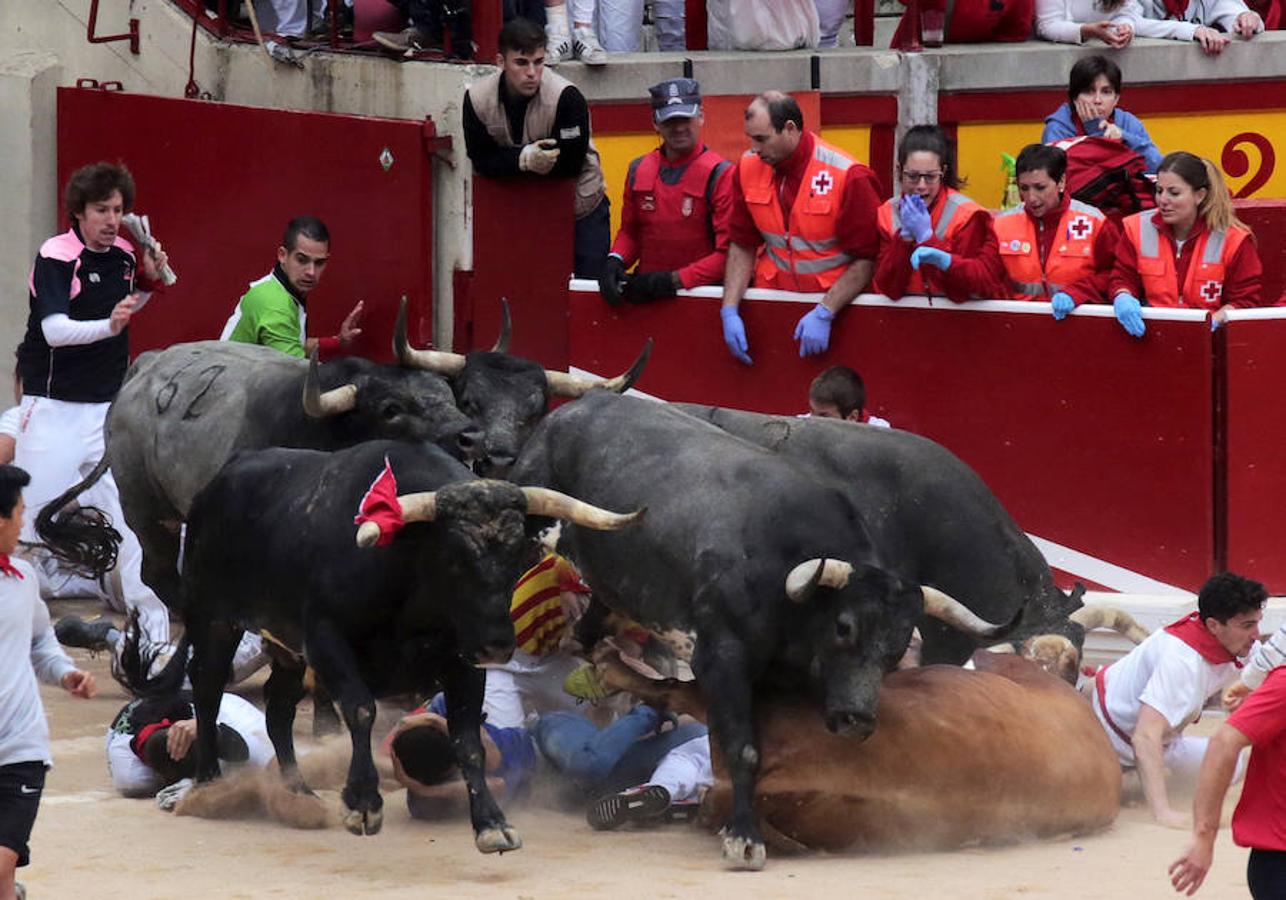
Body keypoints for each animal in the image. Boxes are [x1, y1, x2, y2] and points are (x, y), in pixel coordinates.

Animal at [181, 442, 643, 848]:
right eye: (454, 558)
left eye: (518, 555)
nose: (497, 644)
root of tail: (221, 477)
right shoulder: (326, 638)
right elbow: (361, 709)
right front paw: (363, 803)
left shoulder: (463, 662)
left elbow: (467, 739)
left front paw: (492, 823)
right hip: (212, 617)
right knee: (207, 686)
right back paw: (208, 783)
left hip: (285, 646)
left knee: (278, 707)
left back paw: (298, 790)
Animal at [506, 396, 1008, 874]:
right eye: (844, 627)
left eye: (898, 648)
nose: (857, 720)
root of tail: (575, 408)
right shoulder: (722, 661)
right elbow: (743, 749)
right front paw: (744, 840)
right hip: (527, 529)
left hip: (613, 587)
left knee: (590, 632)